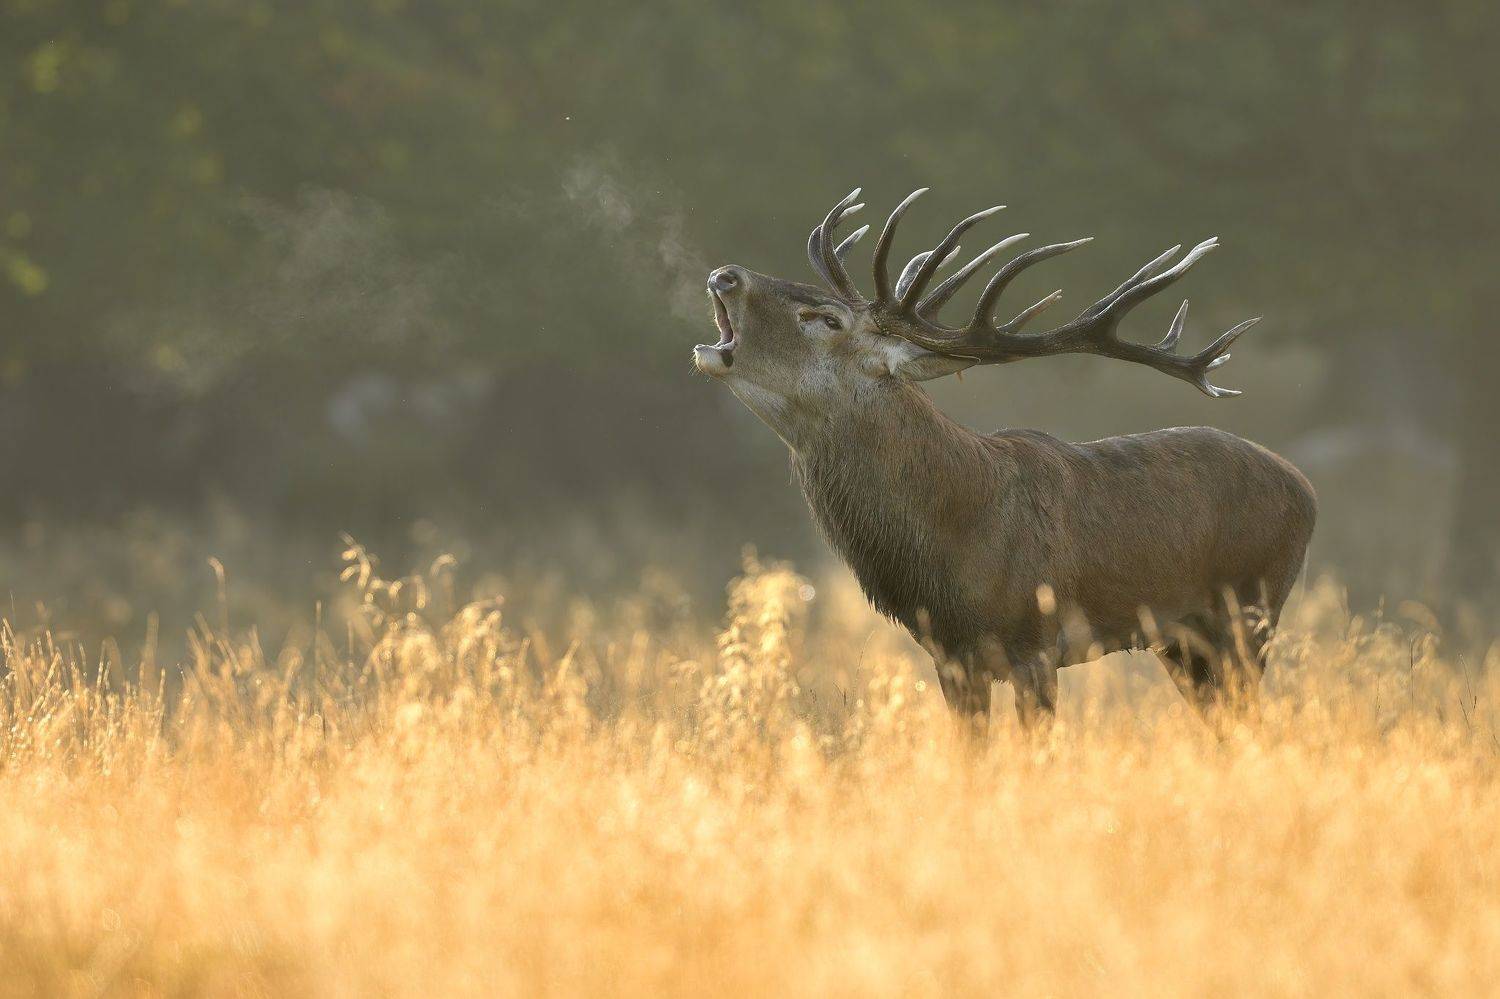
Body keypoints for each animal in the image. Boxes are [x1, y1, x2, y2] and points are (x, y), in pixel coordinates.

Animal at [693, 188, 1316, 729]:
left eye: (828, 319)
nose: (726, 275)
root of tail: (1307, 490)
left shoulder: (1035, 644)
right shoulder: (950, 660)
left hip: (1251, 612)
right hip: (1181, 641)